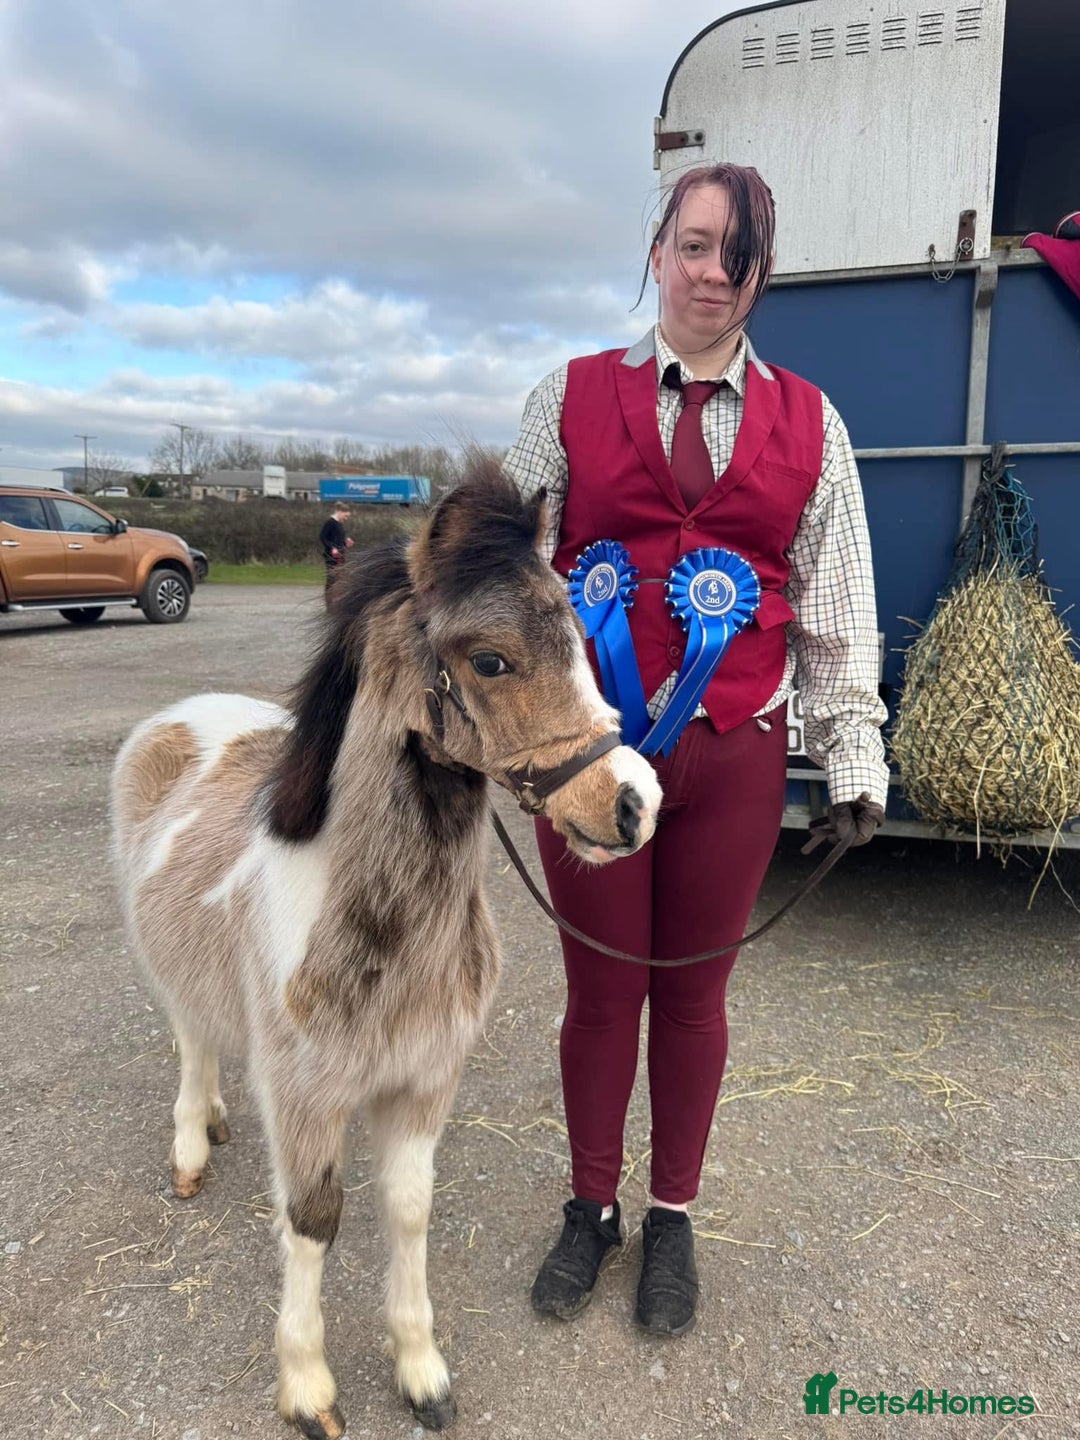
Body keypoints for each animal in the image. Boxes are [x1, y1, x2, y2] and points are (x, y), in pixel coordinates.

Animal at [110, 465, 662, 1438]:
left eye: (579, 640)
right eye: (490, 660)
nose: (635, 804)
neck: (374, 928)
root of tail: (188, 714)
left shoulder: (422, 1081)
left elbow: (408, 1210)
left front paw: (420, 1370)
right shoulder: (306, 1095)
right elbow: (313, 1218)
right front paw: (307, 1388)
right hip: (162, 965)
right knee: (189, 1037)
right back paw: (190, 1148)